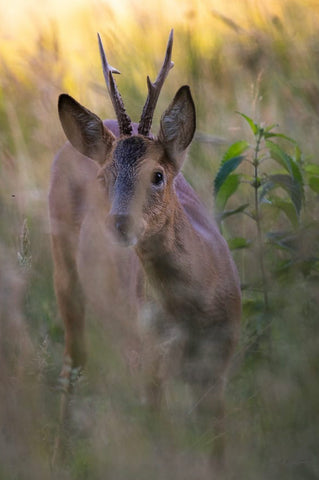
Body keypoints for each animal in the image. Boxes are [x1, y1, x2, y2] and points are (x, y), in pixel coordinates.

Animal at [49, 30, 240, 464]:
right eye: (103, 179)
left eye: (158, 175)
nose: (119, 223)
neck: (194, 310)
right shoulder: (150, 362)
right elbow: (160, 444)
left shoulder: (219, 363)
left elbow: (219, 448)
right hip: (65, 274)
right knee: (72, 363)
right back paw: (60, 456)